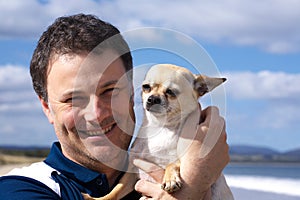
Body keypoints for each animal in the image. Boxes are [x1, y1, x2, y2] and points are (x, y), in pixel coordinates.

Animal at [85, 64, 233, 200]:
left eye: (171, 92)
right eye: (146, 87)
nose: (152, 98)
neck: (159, 127)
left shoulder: (181, 159)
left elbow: (172, 163)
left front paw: (170, 179)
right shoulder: (133, 172)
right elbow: (115, 191)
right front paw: (94, 198)